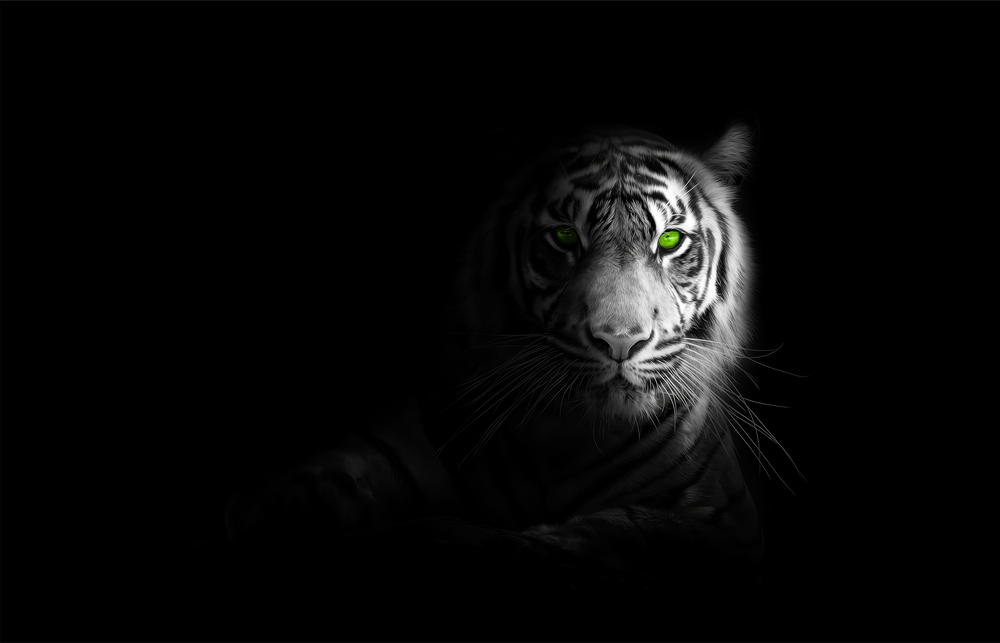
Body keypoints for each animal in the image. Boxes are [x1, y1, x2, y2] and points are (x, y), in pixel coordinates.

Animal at [226, 122, 784, 591]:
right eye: (564, 236)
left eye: (669, 240)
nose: (619, 341)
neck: (569, 435)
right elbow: (309, 487)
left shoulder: (730, 525)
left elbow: (641, 528)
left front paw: (542, 542)